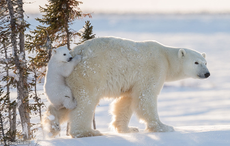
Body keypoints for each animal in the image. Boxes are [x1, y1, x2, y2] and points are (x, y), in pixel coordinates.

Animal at [45, 36, 209, 138]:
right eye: (196, 62)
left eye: (205, 62)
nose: (207, 73)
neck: (166, 57)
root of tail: (73, 53)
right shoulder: (153, 69)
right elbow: (146, 97)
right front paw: (164, 127)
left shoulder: (132, 82)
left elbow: (126, 101)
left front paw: (128, 129)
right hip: (88, 74)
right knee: (84, 102)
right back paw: (87, 132)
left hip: (67, 81)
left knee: (64, 103)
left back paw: (52, 124)